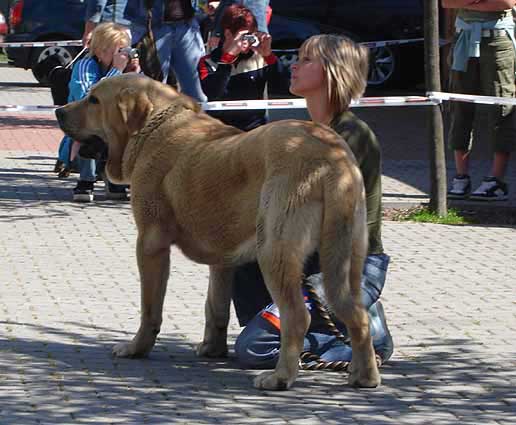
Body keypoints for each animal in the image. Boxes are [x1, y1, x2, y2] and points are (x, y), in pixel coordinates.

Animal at [55, 72, 378, 388]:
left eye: (94, 100)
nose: (59, 111)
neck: (153, 126)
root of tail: (331, 157)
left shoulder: (150, 244)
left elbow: (150, 308)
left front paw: (136, 348)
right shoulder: (222, 259)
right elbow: (215, 306)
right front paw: (212, 349)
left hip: (274, 252)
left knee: (297, 316)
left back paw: (280, 377)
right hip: (344, 259)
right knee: (357, 313)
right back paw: (364, 375)